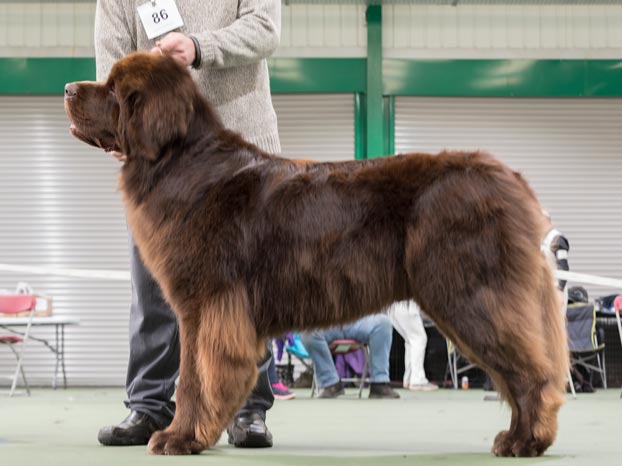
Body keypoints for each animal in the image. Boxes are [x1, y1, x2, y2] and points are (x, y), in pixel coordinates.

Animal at [64, 51, 572, 456]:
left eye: (114, 88)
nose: (68, 88)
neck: (178, 162)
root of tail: (511, 179)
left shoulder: (204, 305)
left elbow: (193, 378)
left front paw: (179, 438)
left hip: (469, 294)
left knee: (531, 372)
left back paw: (526, 441)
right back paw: (521, 437)